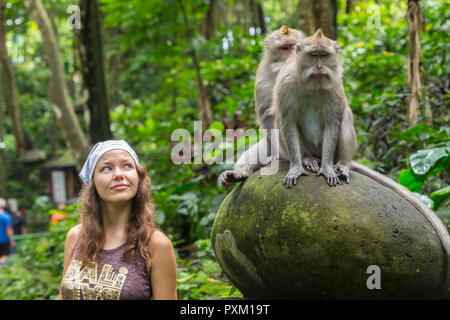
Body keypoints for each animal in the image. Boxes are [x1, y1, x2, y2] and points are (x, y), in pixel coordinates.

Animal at [218, 25, 306, 188]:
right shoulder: (262, 79)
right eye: (285, 48)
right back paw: (239, 174)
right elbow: (266, 113)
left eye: (296, 47)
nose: (292, 58)